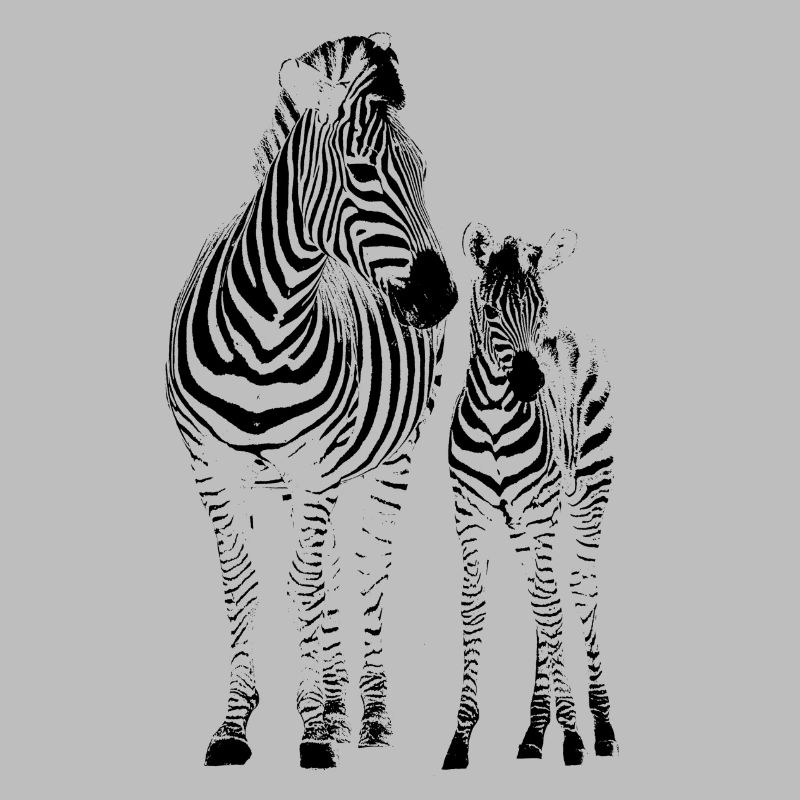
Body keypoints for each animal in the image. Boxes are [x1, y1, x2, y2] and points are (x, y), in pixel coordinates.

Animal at [166, 33, 457, 769]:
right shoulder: (212, 469)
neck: (266, 326)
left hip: (391, 460)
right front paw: (236, 724)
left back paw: (369, 719)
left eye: (423, 171)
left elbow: (308, 585)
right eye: (361, 170)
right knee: (328, 574)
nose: (440, 297)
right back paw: (334, 704)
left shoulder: (315, 468)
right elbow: (244, 584)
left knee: (365, 572)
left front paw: (314, 732)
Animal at [442, 222, 618, 769]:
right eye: (491, 310)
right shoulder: (469, 515)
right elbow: (474, 608)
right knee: (543, 597)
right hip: (524, 524)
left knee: (577, 591)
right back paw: (534, 733)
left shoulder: (540, 512)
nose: (531, 380)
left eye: (539, 308)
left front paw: (574, 736)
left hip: (586, 496)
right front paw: (460, 738)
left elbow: (552, 609)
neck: (497, 421)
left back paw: (601, 727)